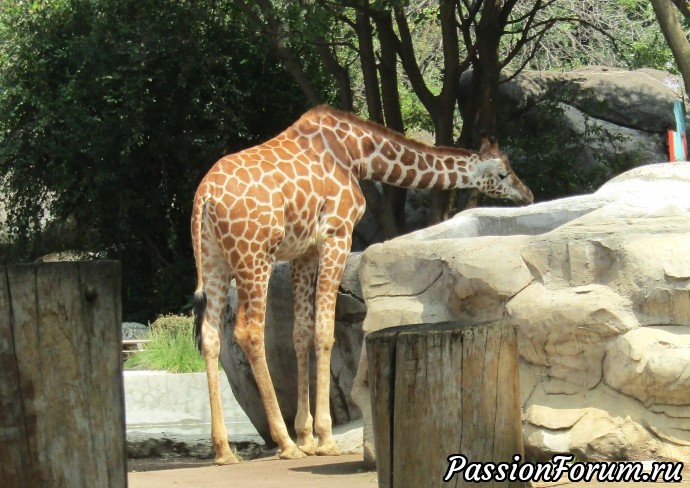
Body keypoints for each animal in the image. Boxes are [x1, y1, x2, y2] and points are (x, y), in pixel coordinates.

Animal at [189, 105, 532, 464]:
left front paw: (306, 436)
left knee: (210, 335)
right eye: (503, 173)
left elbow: (301, 333)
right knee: (249, 330)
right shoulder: (337, 234)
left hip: (214, 260)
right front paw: (324, 438)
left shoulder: (304, 251)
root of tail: (205, 198)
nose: (527, 195)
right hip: (254, 256)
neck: (357, 153)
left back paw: (224, 450)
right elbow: (324, 331)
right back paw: (284, 443)